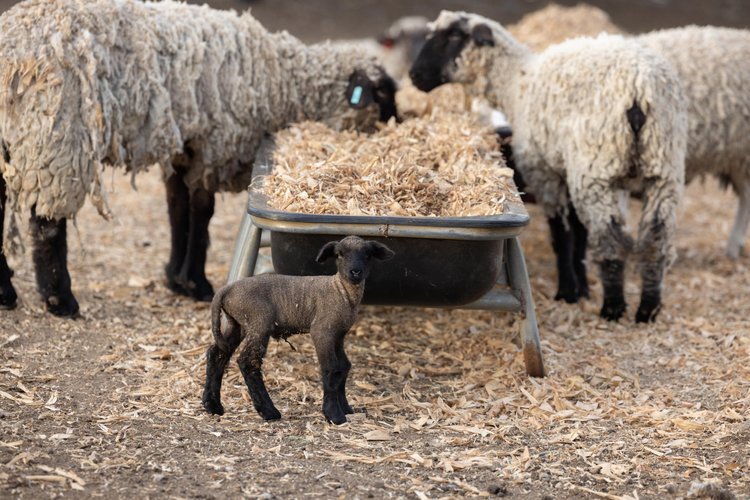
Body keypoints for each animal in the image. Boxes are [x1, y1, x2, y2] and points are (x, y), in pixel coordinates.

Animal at [0, 0, 398, 316]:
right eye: (381, 94)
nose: (397, 124)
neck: (281, 82)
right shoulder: (213, 147)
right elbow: (201, 214)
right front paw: (196, 283)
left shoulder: (185, 148)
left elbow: (177, 211)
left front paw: (175, 278)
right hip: (57, 136)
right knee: (47, 223)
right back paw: (59, 300)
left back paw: (7, 293)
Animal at [202, 235, 395, 424]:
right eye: (339, 254)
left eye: (368, 255)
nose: (355, 272)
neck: (341, 290)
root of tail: (226, 290)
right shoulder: (322, 331)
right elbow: (330, 368)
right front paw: (333, 415)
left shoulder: (338, 334)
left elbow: (343, 366)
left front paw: (346, 409)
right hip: (259, 322)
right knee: (248, 362)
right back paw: (269, 411)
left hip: (237, 323)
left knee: (218, 353)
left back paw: (212, 405)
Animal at [410, 11, 688, 322]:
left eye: (455, 36)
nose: (414, 76)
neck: (517, 83)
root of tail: (639, 89)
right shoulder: (568, 172)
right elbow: (579, 235)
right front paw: (580, 286)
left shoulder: (546, 173)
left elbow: (561, 235)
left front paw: (568, 291)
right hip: (662, 167)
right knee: (655, 239)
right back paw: (648, 309)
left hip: (598, 167)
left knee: (611, 238)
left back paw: (613, 307)